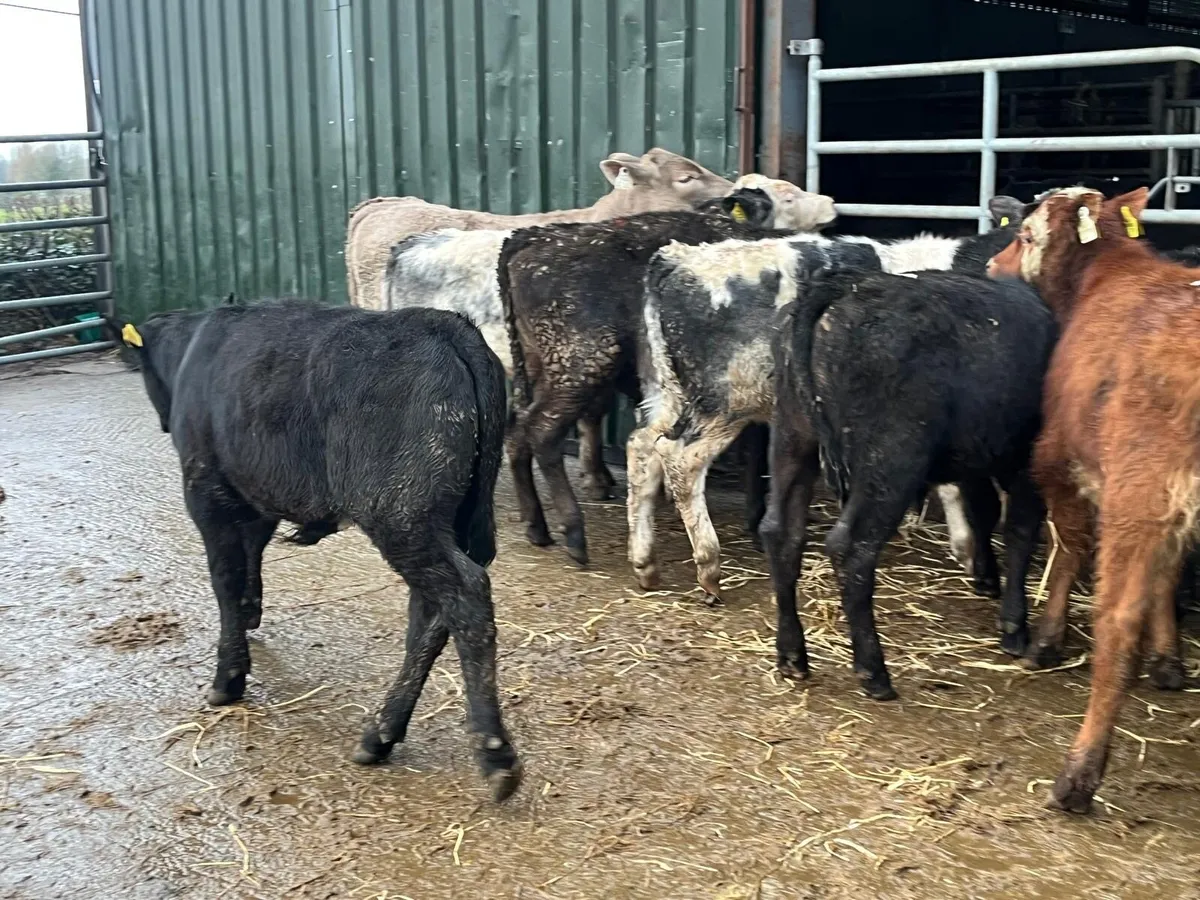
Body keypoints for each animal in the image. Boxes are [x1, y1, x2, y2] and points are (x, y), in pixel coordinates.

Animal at [112, 299, 520, 802]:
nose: (163, 420)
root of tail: (443, 323)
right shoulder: (257, 493)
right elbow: (251, 557)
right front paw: (249, 614)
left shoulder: (206, 492)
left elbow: (224, 577)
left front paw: (228, 677)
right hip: (451, 521)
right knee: (431, 615)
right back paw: (381, 733)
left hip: (401, 516)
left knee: (465, 596)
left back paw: (494, 753)